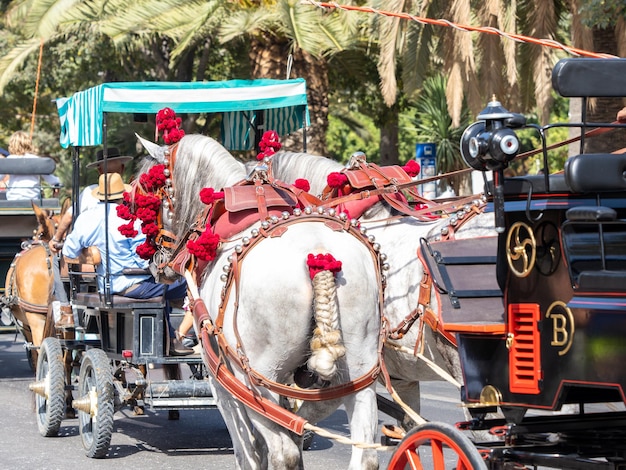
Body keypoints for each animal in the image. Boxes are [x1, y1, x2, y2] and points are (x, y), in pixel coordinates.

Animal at [136, 136, 382, 470]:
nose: (155, 263)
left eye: (151, 193)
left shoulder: (220, 378)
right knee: (363, 453)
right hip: (359, 369)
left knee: (282, 451)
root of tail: (320, 256)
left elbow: (248, 447)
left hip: (257, 376)